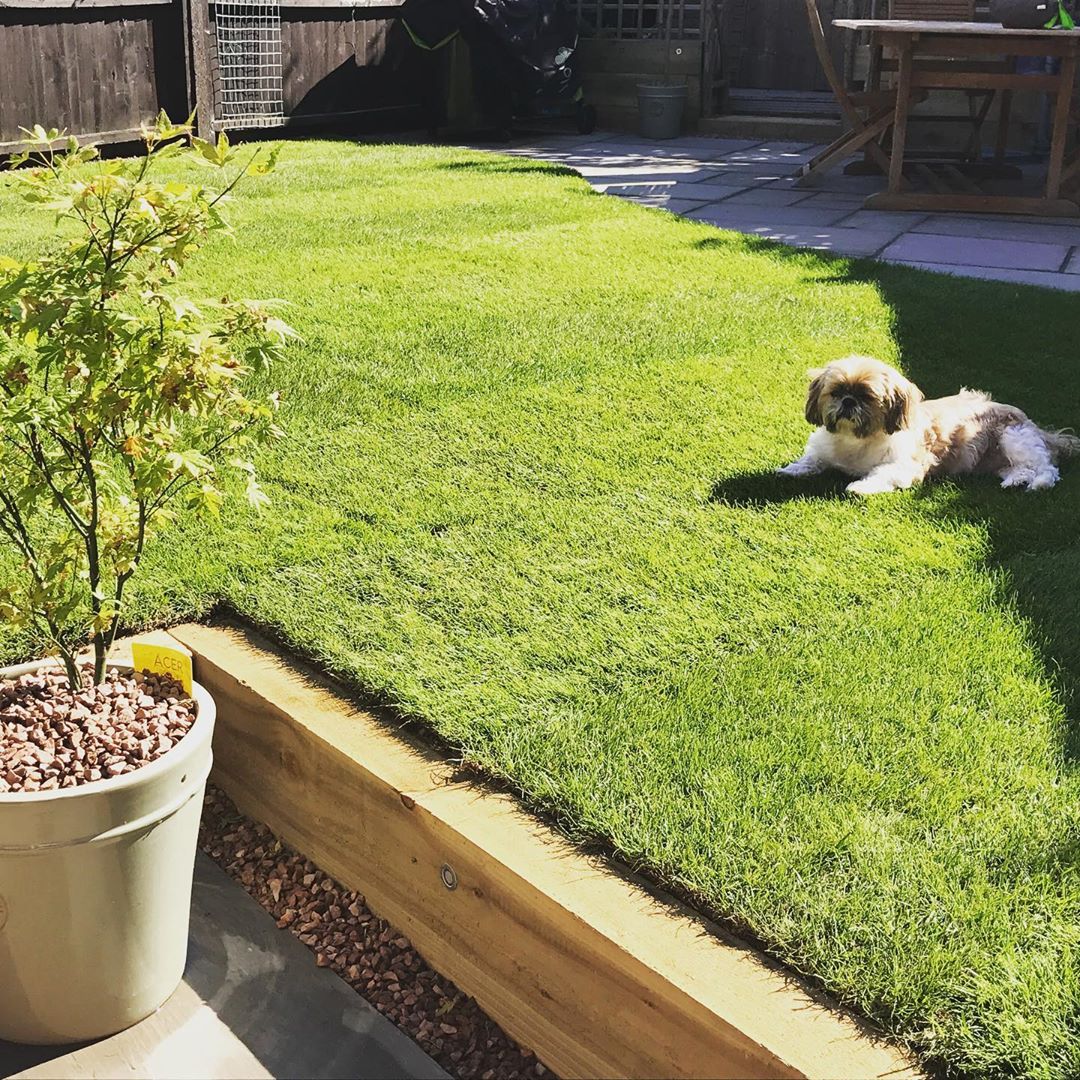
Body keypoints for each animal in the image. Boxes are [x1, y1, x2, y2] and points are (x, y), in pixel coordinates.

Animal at [777, 358, 1071, 496]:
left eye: (866, 396)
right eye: (836, 392)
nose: (848, 401)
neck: (855, 440)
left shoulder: (905, 466)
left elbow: (881, 474)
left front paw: (860, 487)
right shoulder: (823, 450)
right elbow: (811, 460)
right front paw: (791, 470)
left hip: (1013, 437)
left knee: (1046, 468)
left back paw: (1038, 484)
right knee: (1020, 468)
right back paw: (1014, 481)